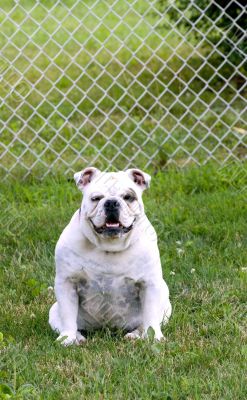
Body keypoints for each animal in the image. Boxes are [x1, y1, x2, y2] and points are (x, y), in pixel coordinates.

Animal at [48, 167, 172, 346]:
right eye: (96, 198)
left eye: (128, 197)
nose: (112, 202)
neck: (109, 245)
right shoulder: (67, 283)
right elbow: (68, 315)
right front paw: (68, 338)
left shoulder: (150, 285)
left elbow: (150, 318)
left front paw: (154, 338)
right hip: (53, 311)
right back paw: (78, 337)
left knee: (144, 324)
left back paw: (135, 335)